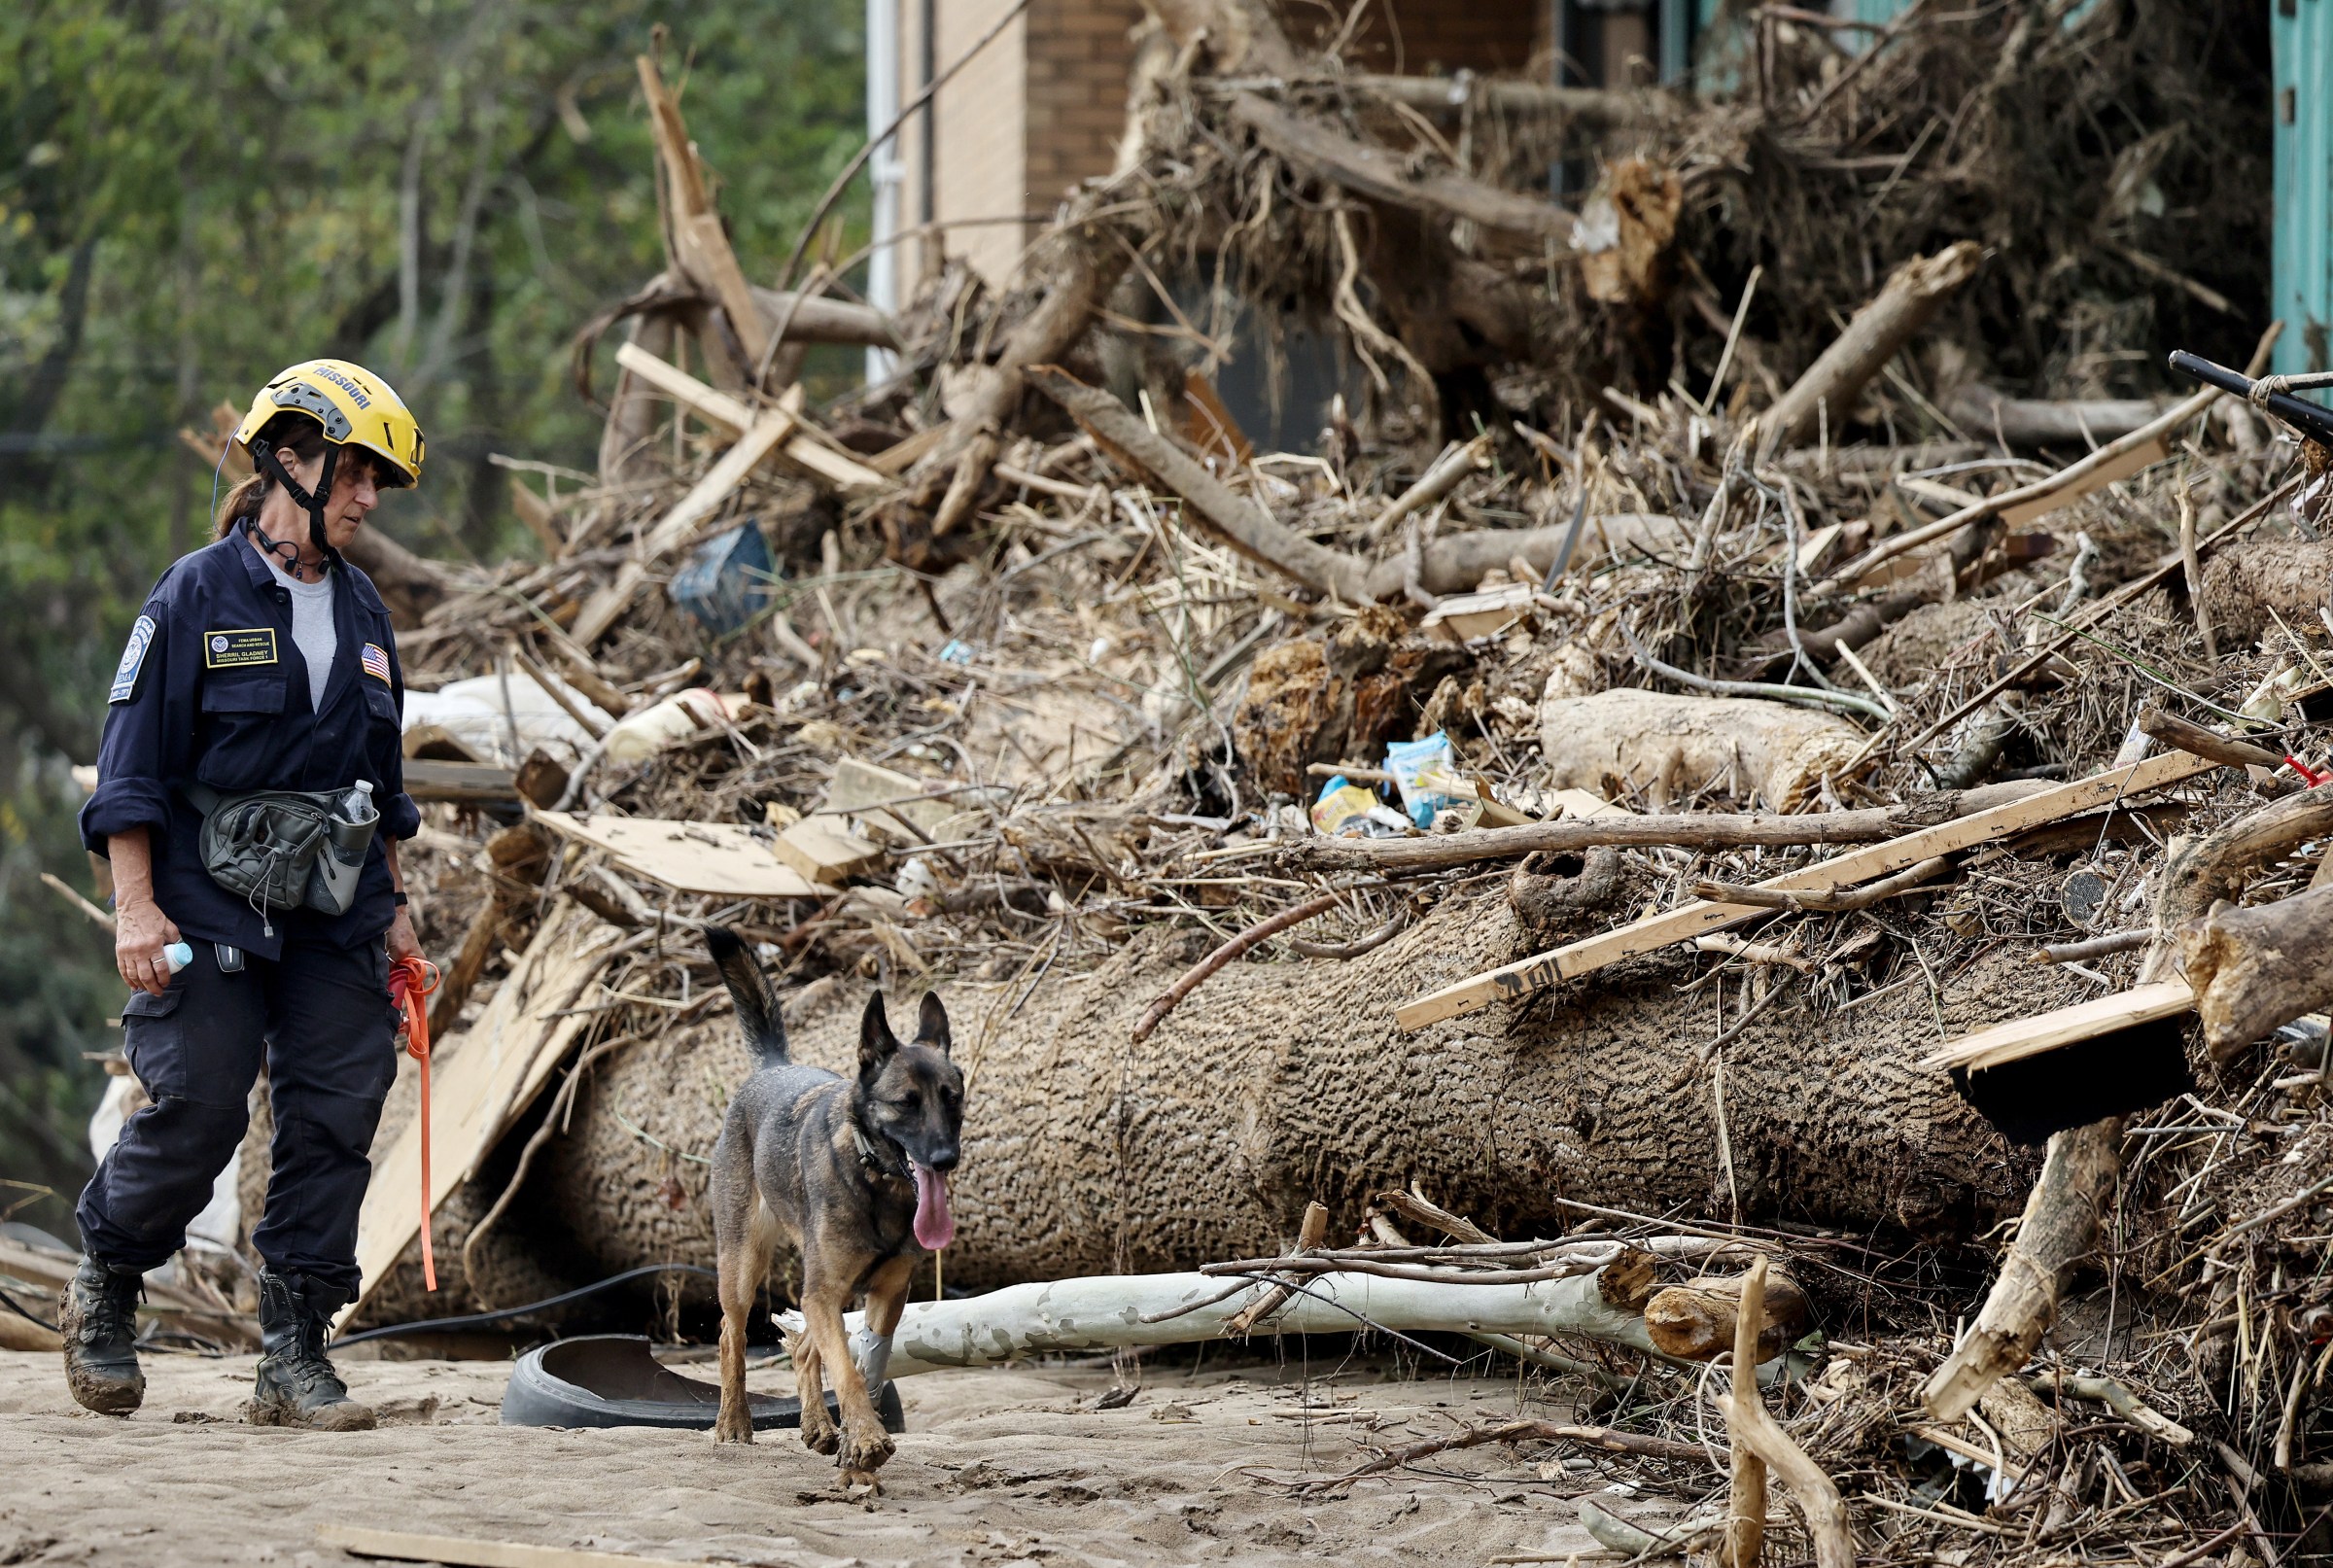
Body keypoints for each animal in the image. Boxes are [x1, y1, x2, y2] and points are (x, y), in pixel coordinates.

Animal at [709, 923, 965, 1483]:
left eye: (953, 1098)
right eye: (906, 1103)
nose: (945, 1159)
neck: (876, 1183)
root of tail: (775, 1067)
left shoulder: (885, 1295)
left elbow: (862, 1366)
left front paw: (855, 1446)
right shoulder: (824, 1293)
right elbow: (845, 1372)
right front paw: (865, 1440)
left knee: (804, 1348)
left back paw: (819, 1428)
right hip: (743, 1263)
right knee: (731, 1336)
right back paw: (734, 1422)